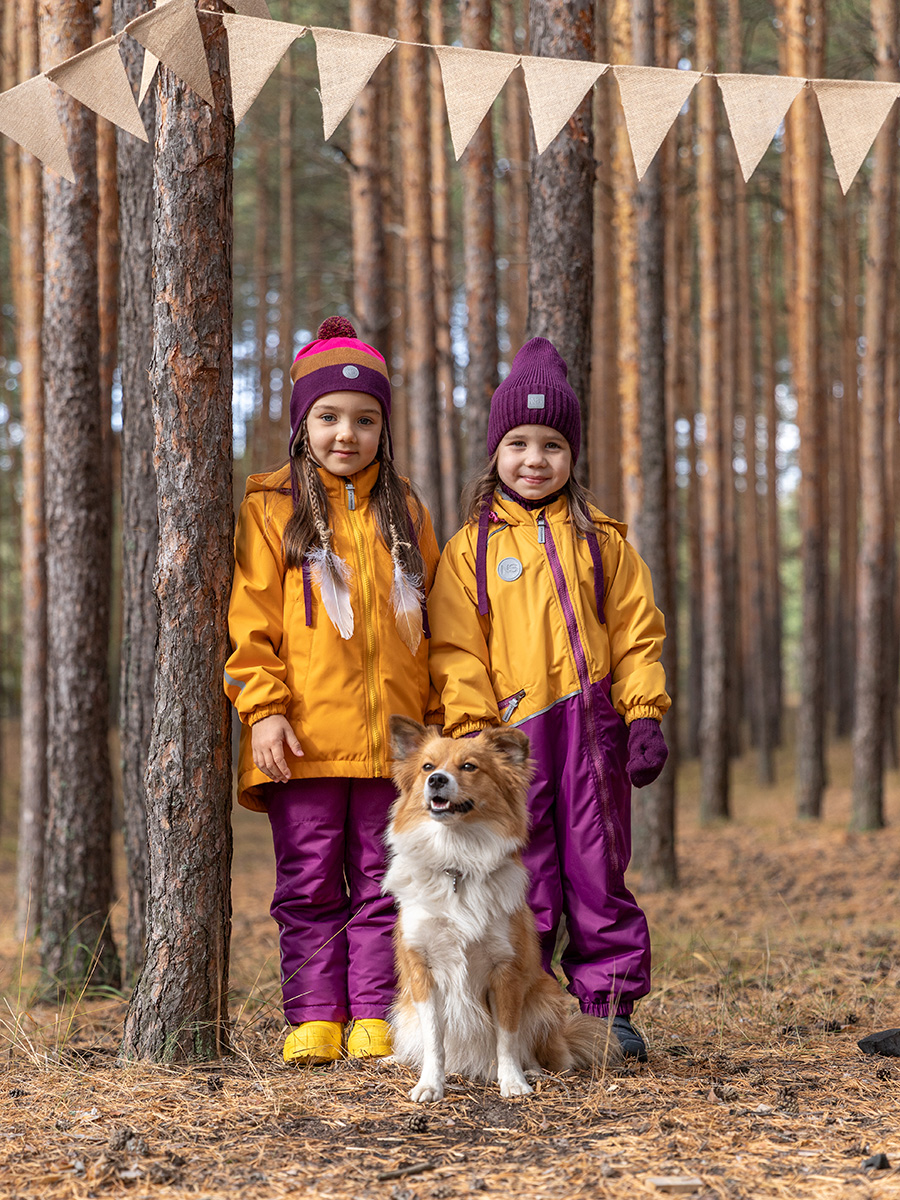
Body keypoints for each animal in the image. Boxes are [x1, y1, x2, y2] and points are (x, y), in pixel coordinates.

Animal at [384, 715, 624, 1099]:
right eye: (427, 767)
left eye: (469, 767)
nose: (437, 780)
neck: (456, 861)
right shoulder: (423, 969)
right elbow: (434, 1038)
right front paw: (430, 1084)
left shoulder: (505, 971)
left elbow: (507, 1037)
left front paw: (512, 1081)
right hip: (404, 1007)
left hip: (545, 1000)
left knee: (549, 1053)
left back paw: (536, 1070)